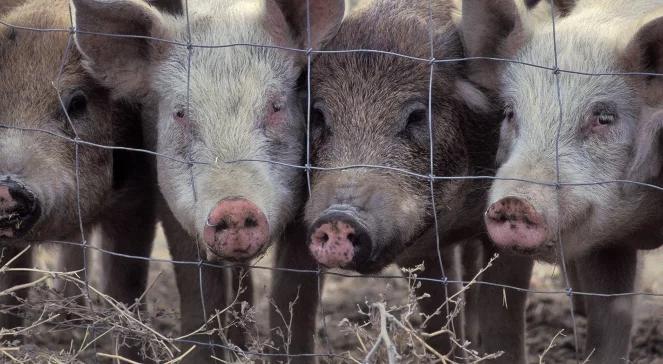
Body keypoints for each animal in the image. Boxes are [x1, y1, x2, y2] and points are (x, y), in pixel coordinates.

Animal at [70, 0, 344, 358]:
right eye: (180, 113)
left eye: (276, 106)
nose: (235, 206)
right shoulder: (169, 198)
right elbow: (197, 284)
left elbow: (294, 292)